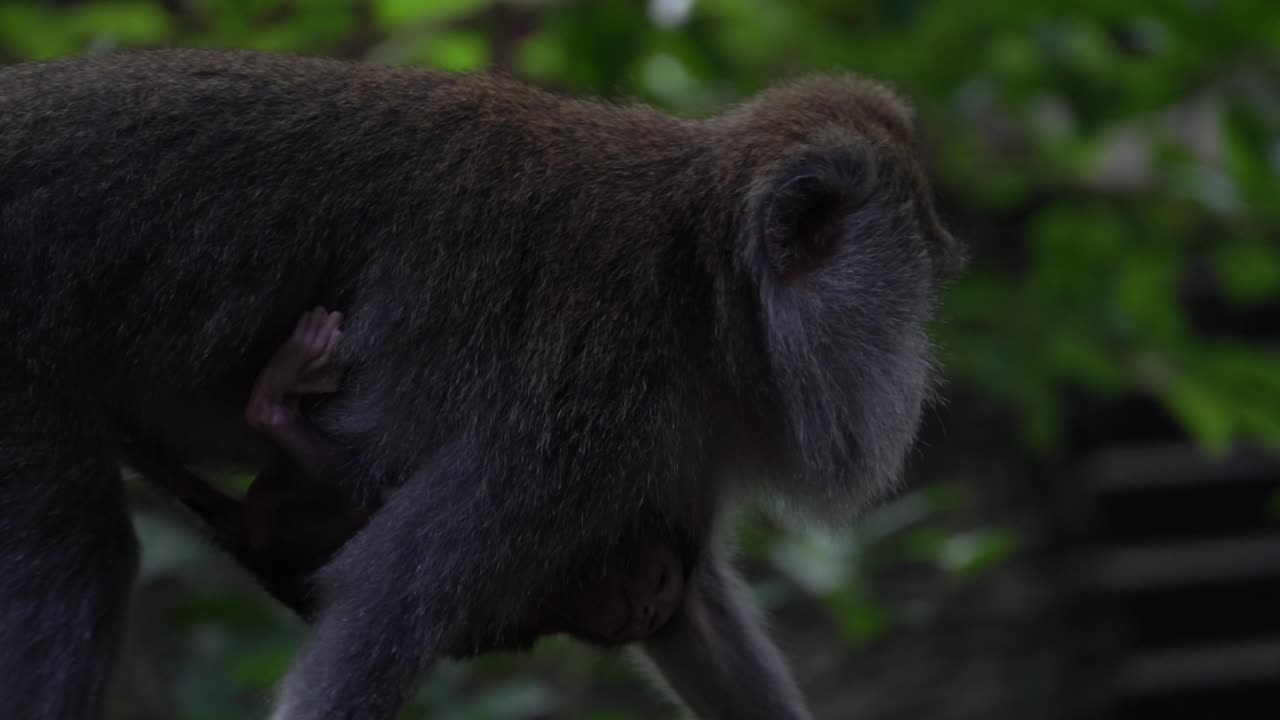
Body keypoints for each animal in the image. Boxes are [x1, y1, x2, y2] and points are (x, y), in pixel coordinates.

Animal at [0, 49, 964, 720]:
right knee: (85, 560)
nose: (938, 305)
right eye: (916, 282)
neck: (704, 290)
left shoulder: (666, 451)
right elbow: (380, 610)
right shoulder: (576, 417)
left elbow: (698, 623)